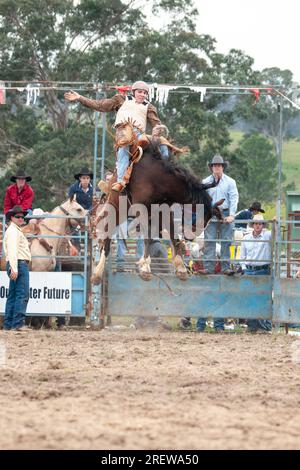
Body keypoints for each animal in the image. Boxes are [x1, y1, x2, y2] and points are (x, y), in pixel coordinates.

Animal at [92, 141, 221, 282]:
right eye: (198, 214)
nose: (192, 237)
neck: (158, 179)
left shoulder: (164, 210)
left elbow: (173, 236)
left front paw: (181, 268)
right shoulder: (141, 208)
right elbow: (148, 237)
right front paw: (145, 268)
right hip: (115, 207)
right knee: (107, 233)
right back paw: (97, 272)